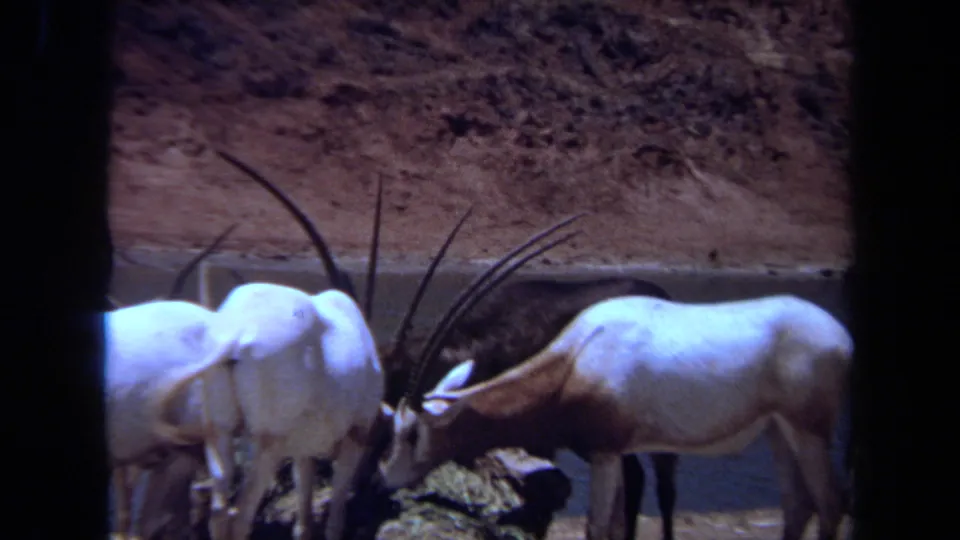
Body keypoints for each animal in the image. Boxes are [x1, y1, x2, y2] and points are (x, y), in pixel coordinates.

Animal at [378, 295, 854, 540]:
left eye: (412, 433)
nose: (387, 480)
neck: (578, 360)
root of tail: (840, 336)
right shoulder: (621, 452)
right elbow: (616, 524)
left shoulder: (605, 453)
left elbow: (598, 527)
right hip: (778, 430)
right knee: (797, 505)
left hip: (809, 430)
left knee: (830, 502)